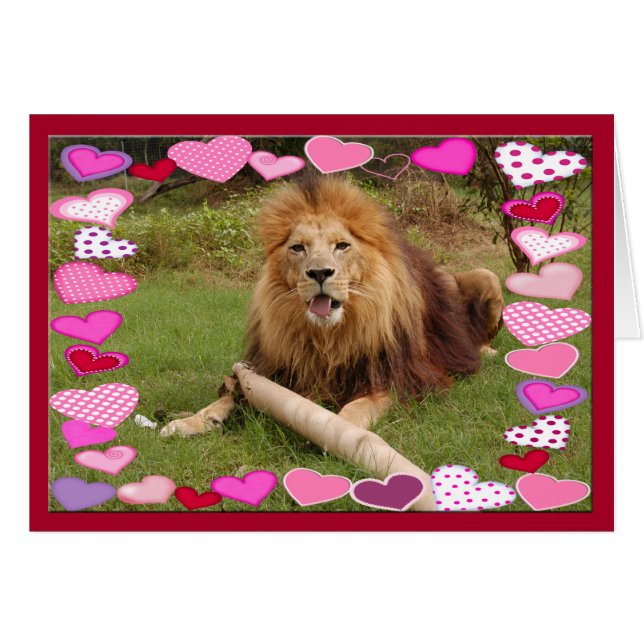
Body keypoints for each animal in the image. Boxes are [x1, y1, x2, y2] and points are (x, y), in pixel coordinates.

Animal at [160, 175, 503, 437]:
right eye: (297, 248)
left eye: (342, 246)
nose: (320, 273)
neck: (328, 337)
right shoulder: (276, 369)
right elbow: (228, 395)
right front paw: (190, 420)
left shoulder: (399, 375)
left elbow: (356, 407)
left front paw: (340, 431)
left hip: (488, 277)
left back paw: (487, 351)